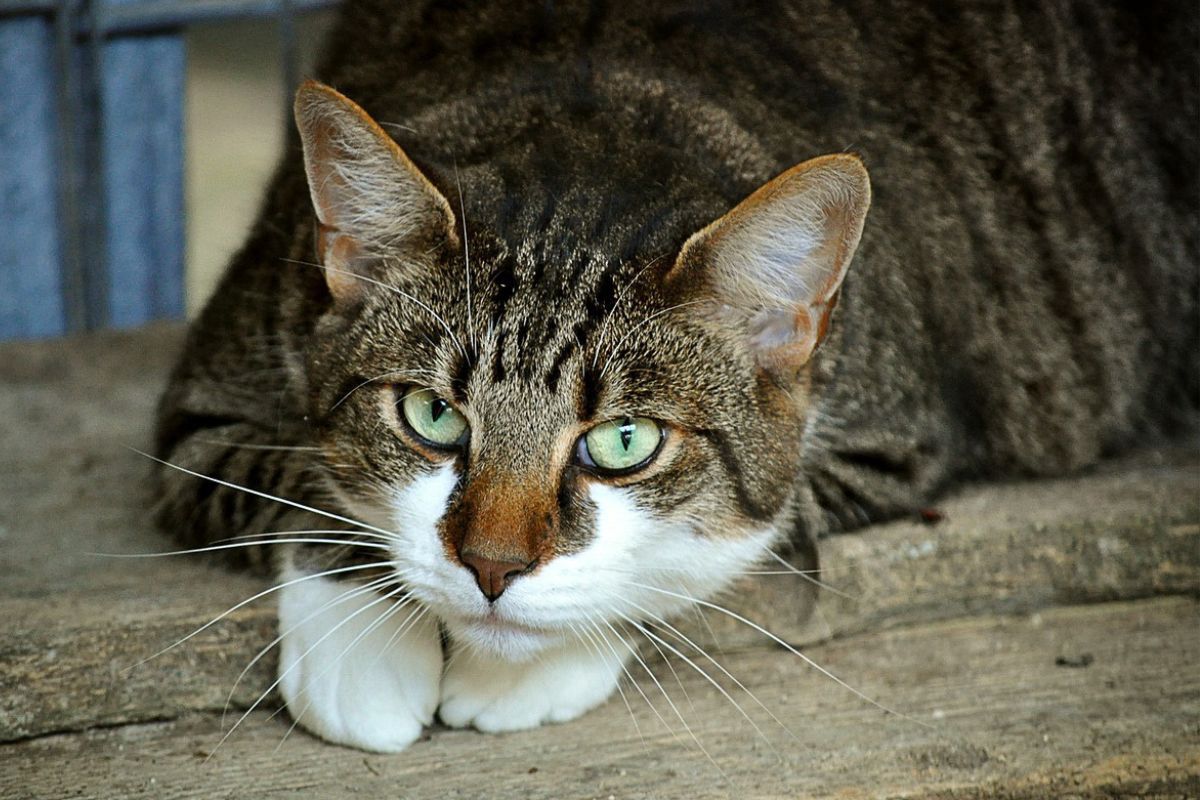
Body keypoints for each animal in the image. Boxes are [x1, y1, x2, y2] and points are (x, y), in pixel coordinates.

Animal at [154, 0, 1195, 753]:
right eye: (431, 416)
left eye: (625, 442)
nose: (491, 568)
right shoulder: (206, 399)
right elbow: (297, 478)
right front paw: (363, 654)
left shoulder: (892, 441)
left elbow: (725, 543)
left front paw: (520, 673)